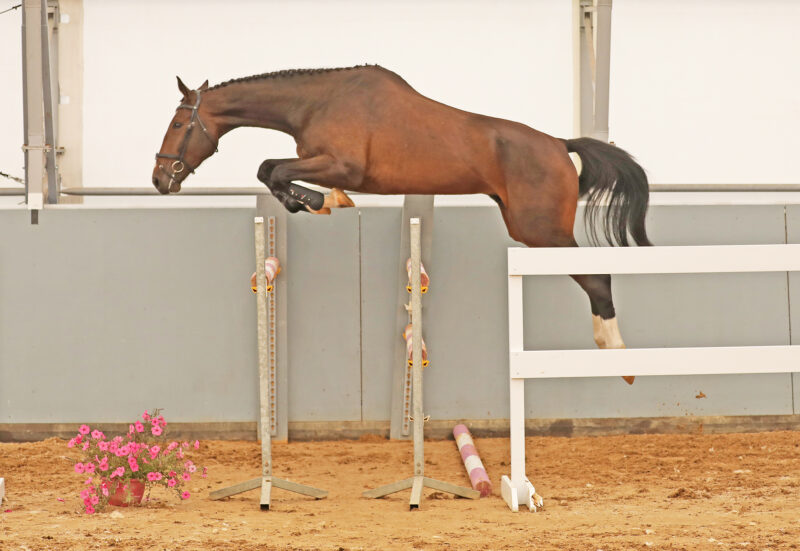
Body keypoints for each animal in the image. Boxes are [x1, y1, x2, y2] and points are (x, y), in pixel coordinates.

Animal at [153, 65, 651, 383]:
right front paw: (315, 202)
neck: (316, 102)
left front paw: (317, 201)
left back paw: (618, 358)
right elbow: (269, 168)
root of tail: (560, 144)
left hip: (542, 233)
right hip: (531, 230)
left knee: (598, 279)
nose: (160, 179)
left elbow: (272, 169)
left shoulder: (342, 165)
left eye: (177, 123)